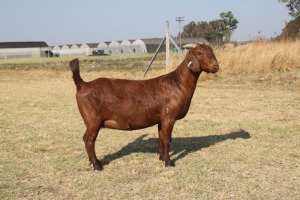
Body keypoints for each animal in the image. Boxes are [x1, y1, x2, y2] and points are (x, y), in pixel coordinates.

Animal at [68, 43, 218, 170]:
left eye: (211, 51)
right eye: (199, 53)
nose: (216, 66)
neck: (177, 83)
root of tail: (83, 84)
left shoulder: (161, 118)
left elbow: (161, 137)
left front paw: (161, 157)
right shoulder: (169, 116)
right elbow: (167, 139)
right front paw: (169, 162)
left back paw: (91, 162)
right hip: (93, 120)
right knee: (89, 140)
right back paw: (97, 165)